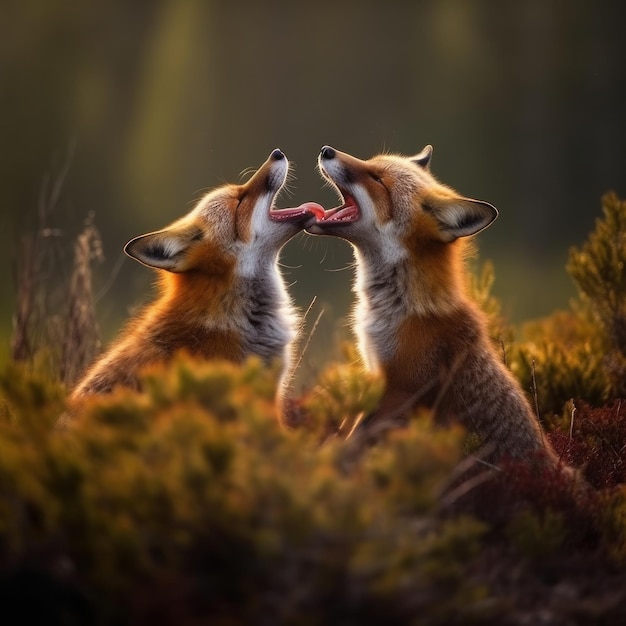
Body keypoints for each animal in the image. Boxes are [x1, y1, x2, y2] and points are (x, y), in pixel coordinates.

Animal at [308, 145, 564, 468]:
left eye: (378, 180)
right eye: (370, 163)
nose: (326, 150)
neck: (395, 309)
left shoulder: (402, 390)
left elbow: (354, 443)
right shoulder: (375, 373)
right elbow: (347, 431)